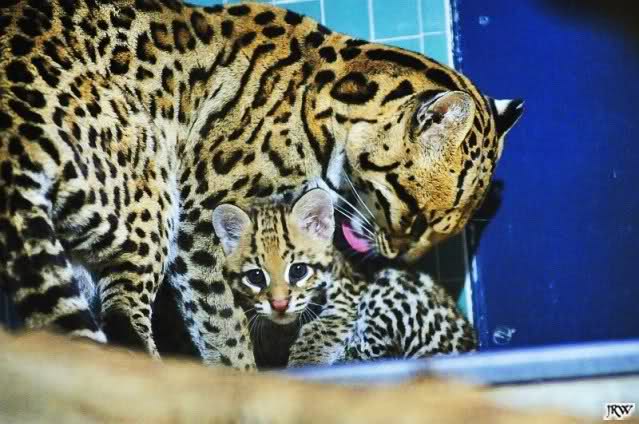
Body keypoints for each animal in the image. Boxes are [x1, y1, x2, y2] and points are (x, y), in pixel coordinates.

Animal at [213, 188, 476, 368]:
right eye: (256, 276)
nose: (279, 304)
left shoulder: (349, 295)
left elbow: (318, 330)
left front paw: (303, 363)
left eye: (298, 270)